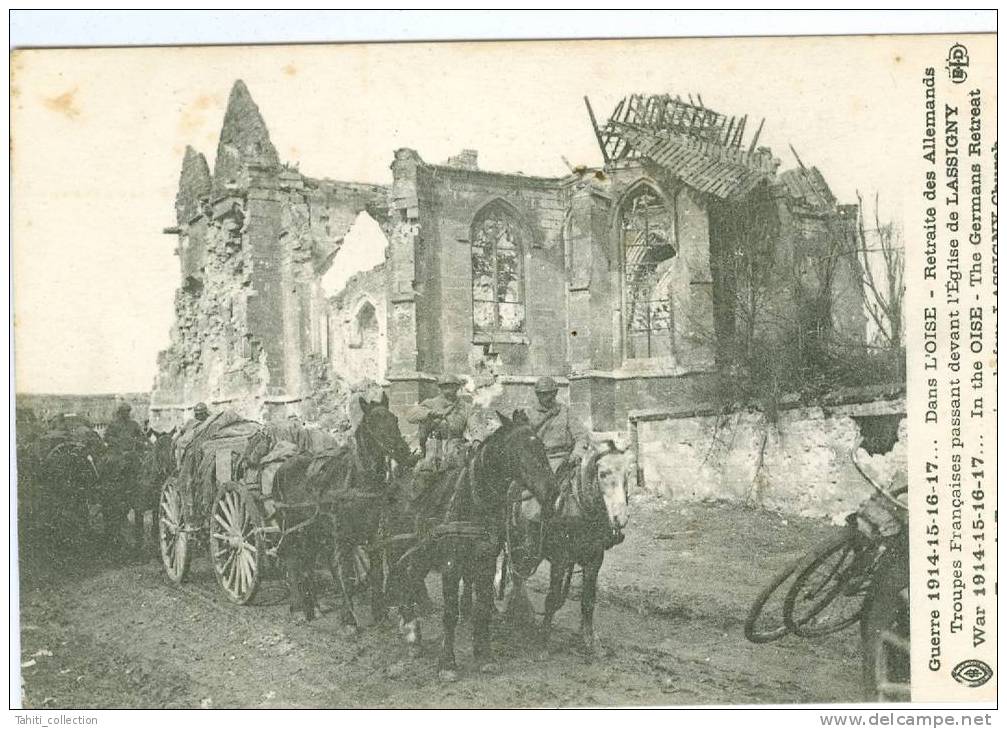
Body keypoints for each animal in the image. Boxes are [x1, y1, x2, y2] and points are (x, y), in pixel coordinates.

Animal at [269, 396, 414, 628]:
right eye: (373, 422)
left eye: (395, 419)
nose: (404, 452)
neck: (358, 481)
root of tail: (282, 467)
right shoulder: (342, 538)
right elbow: (344, 574)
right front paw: (349, 620)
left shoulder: (374, 536)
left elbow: (375, 573)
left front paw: (380, 615)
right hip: (291, 527)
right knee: (293, 561)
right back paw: (298, 608)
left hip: (313, 531)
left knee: (308, 564)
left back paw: (315, 607)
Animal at [386, 410, 559, 684]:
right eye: (519, 450)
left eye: (541, 447)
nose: (552, 491)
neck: (474, 500)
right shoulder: (450, 565)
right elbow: (450, 614)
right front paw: (447, 663)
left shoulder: (485, 562)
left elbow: (483, 608)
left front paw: (485, 656)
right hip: (397, 549)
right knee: (400, 579)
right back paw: (411, 630)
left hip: (421, 553)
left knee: (411, 578)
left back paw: (413, 632)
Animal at [507, 441, 632, 656]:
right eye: (603, 473)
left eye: (628, 474)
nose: (620, 518)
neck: (580, 505)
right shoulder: (560, 559)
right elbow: (552, 598)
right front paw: (543, 640)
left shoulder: (595, 559)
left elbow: (588, 601)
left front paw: (590, 641)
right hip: (518, 546)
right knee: (514, 575)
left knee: (517, 576)